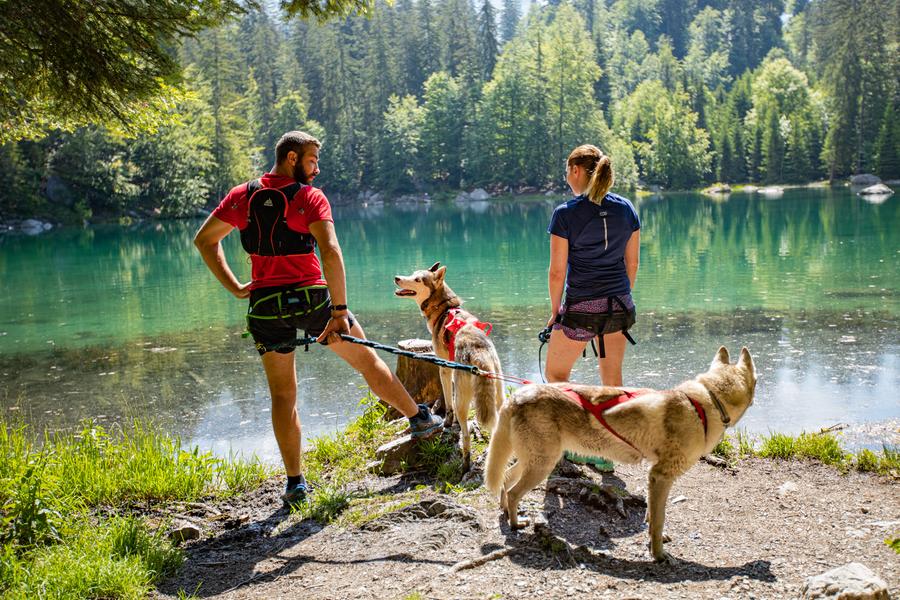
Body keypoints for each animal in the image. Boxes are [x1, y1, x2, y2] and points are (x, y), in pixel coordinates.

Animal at [394, 262, 506, 474]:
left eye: (417, 279)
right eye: (412, 274)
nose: (396, 277)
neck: (444, 309)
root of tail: (480, 354)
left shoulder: (444, 369)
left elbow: (448, 402)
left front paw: (447, 422)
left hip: (465, 401)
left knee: (466, 435)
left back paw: (465, 464)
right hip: (498, 395)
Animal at [482, 346, 756, 564]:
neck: (707, 401)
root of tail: (515, 397)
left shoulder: (654, 478)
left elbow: (651, 516)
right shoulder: (661, 476)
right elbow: (658, 521)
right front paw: (659, 555)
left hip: (533, 461)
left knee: (506, 480)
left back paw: (505, 513)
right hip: (542, 465)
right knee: (514, 491)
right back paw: (515, 523)